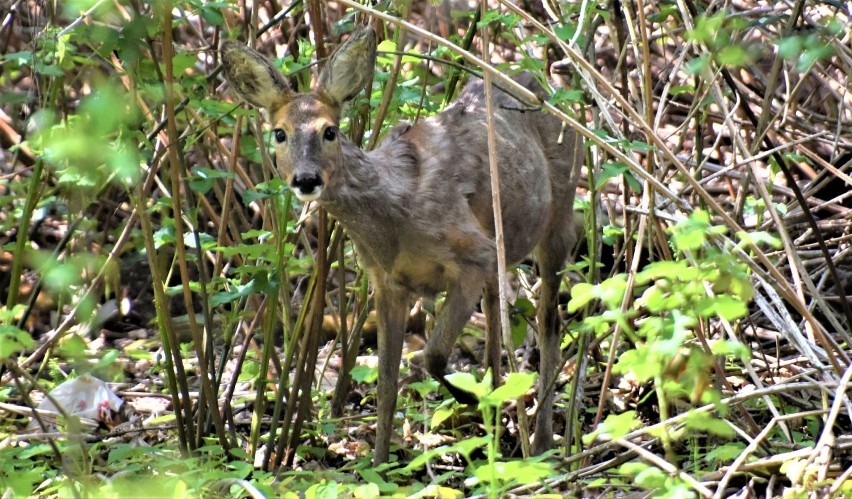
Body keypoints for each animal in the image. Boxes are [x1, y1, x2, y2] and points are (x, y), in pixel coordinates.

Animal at [218, 26, 584, 464]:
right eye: (279, 133)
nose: (306, 179)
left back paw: (542, 441)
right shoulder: (387, 280)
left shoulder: (473, 254)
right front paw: (378, 463)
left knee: (549, 325)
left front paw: (467, 397)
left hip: (561, 213)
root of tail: (543, 83)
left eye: (329, 131)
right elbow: (386, 382)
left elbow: (433, 354)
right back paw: (501, 420)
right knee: (498, 328)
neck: (395, 215)